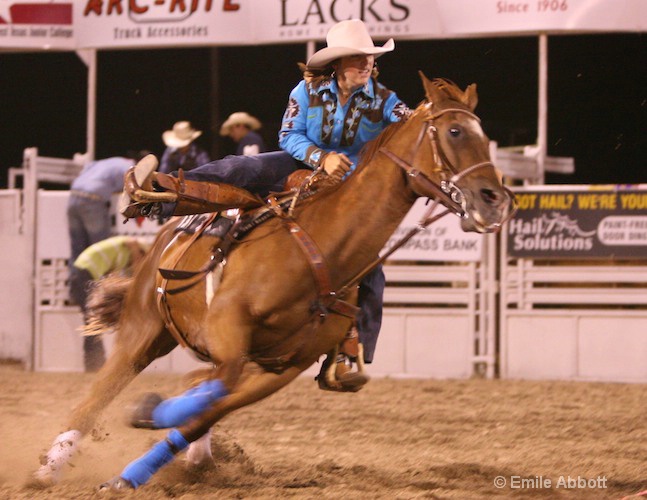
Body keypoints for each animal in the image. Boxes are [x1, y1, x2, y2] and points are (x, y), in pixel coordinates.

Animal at [33, 73, 516, 488]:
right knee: (96, 397)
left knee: (200, 387)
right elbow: (215, 388)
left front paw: (148, 452)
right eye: (454, 132)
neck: (320, 248)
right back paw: (47, 469)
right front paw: (148, 418)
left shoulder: (285, 366)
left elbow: (212, 405)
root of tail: (162, 243)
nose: (495, 200)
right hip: (144, 329)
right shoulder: (227, 322)